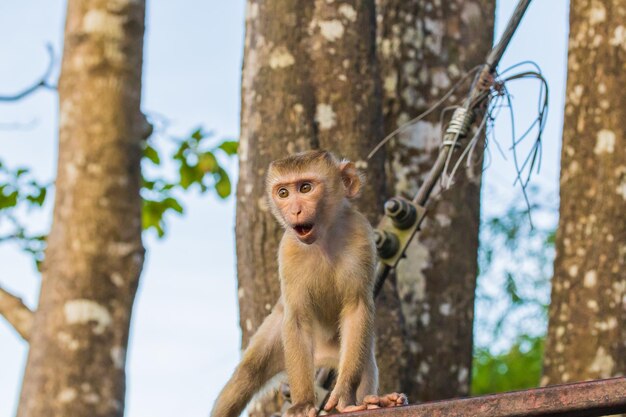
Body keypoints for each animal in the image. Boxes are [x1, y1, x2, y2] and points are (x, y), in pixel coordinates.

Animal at [210, 150, 404, 416]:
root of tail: (322, 356)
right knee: (248, 373)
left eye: (305, 188)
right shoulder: (288, 251)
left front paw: (344, 395)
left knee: (364, 361)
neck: (323, 239)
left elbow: (357, 309)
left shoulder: (362, 236)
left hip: (339, 352)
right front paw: (302, 403)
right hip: (280, 341)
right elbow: (298, 318)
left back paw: (373, 401)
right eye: (283, 193)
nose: (295, 210)